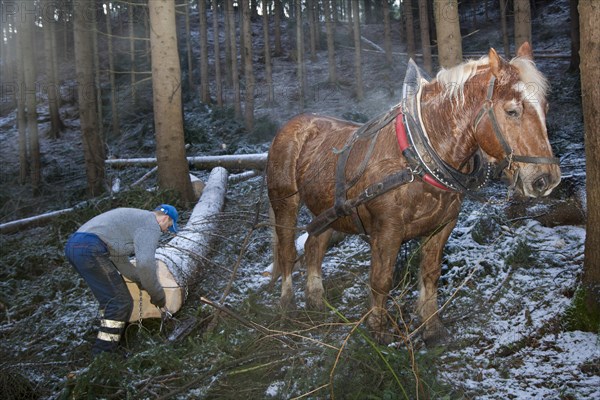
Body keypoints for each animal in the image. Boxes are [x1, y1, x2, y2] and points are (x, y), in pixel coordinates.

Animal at [264, 42, 560, 346]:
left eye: (546, 107)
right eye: (512, 111)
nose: (546, 179)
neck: (419, 156)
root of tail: (293, 125)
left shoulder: (442, 227)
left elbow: (430, 274)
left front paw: (432, 327)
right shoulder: (387, 230)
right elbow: (381, 280)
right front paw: (378, 332)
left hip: (329, 210)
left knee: (314, 245)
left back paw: (316, 302)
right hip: (284, 201)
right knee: (287, 252)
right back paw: (287, 306)